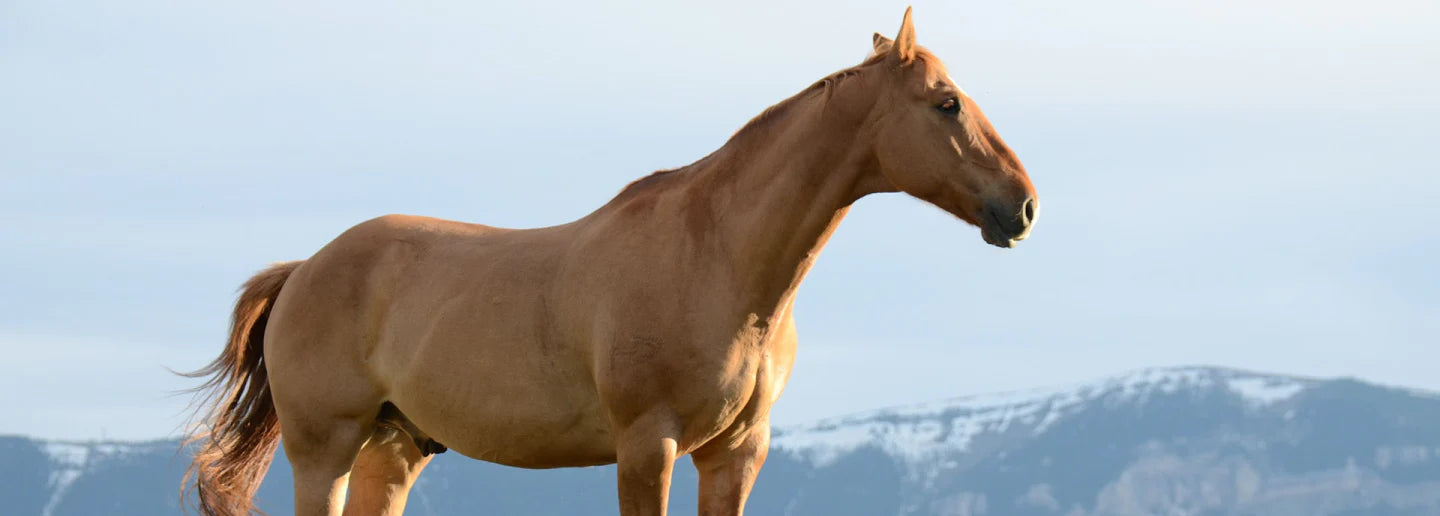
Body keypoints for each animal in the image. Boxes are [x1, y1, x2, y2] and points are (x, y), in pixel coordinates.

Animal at [182, 8, 1037, 516]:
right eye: (947, 103)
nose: (1023, 206)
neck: (718, 261)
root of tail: (305, 269)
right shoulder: (646, 447)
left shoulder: (735, 455)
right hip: (324, 449)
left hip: (391, 452)